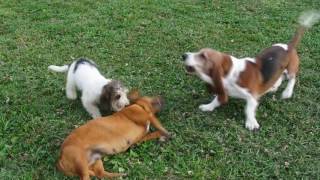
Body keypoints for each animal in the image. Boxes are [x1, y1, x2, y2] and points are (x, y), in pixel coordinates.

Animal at [182, 10, 320, 130]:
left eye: (203, 56)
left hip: (291, 69)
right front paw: (208, 107)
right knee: (279, 77)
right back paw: (273, 87)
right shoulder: (223, 90)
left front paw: (251, 123)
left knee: (292, 79)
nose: (184, 55)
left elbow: (248, 109)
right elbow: (217, 100)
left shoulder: (252, 96)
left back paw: (287, 92)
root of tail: (288, 46)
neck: (230, 73)